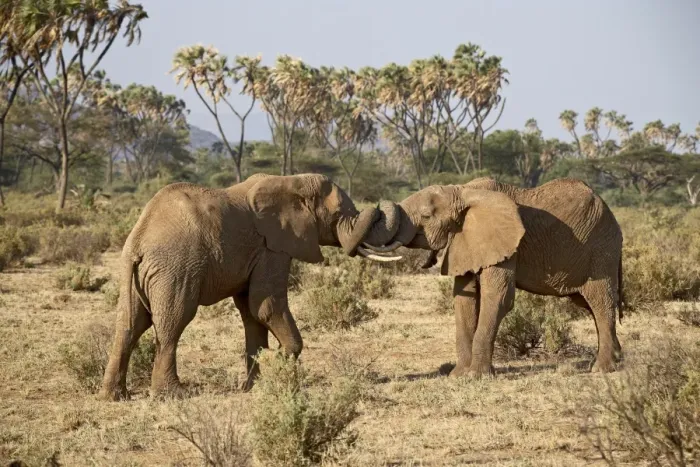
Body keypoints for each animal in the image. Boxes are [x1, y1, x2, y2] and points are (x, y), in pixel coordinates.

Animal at [98, 173, 401, 401]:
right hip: (175, 268)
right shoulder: (273, 247)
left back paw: (114, 396)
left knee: (129, 324)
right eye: (338, 213)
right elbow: (266, 305)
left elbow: (251, 313)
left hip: (137, 273)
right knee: (172, 323)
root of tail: (139, 240)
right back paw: (173, 394)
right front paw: (278, 362)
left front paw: (254, 385)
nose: (380, 205)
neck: (292, 181)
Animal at [360, 177, 624, 378]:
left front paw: (477, 376)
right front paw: (458, 376)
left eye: (426, 216)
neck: (463, 191)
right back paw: (618, 359)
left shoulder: (505, 243)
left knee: (599, 301)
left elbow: (497, 297)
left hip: (600, 251)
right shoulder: (466, 242)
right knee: (587, 303)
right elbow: (464, 300)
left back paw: (602, 369)